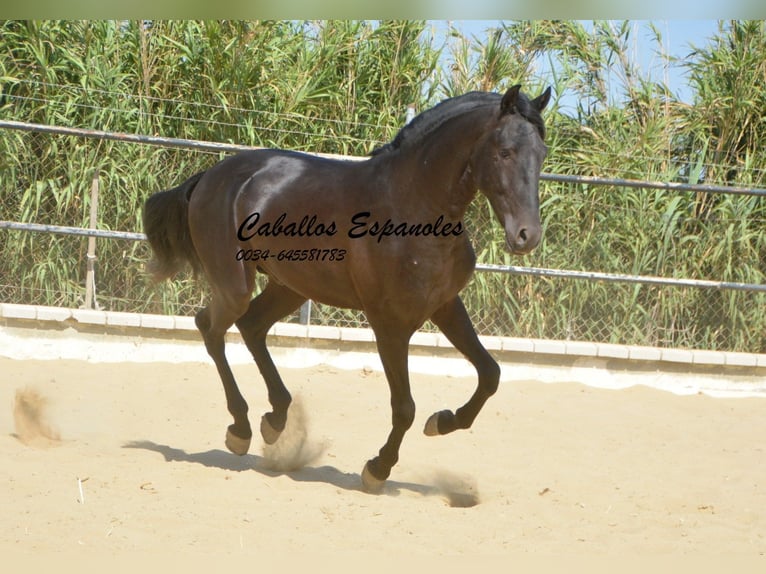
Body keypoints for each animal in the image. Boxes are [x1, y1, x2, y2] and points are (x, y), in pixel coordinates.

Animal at [142, 85, 552, 496]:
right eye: (505, 151)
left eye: (542, 154)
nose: (527, 236)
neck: (412, 204)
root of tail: (210, 175)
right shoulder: (389, 323)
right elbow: (404, 407)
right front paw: (377, 469)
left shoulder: (445, 306)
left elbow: (490, 373)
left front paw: (443, 421)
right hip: (235, 284)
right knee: (210, 328)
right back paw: (241, 429)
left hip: (291, 286)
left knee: (251, 327)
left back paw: (274, 420)